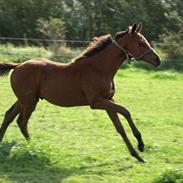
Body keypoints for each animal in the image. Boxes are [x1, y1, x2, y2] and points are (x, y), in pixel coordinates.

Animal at [0, 22, 160, 162]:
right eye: (140, 43)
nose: (157, 60)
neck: (99, 69)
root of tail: (17, 65)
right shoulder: (96, 102)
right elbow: (125, 111)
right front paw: (140, 144)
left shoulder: (108, 100)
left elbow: (119, 127)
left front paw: (137, 155)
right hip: (29, 102)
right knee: (22, 121)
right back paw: (32, 146)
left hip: (24, 100)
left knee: (9, 115)